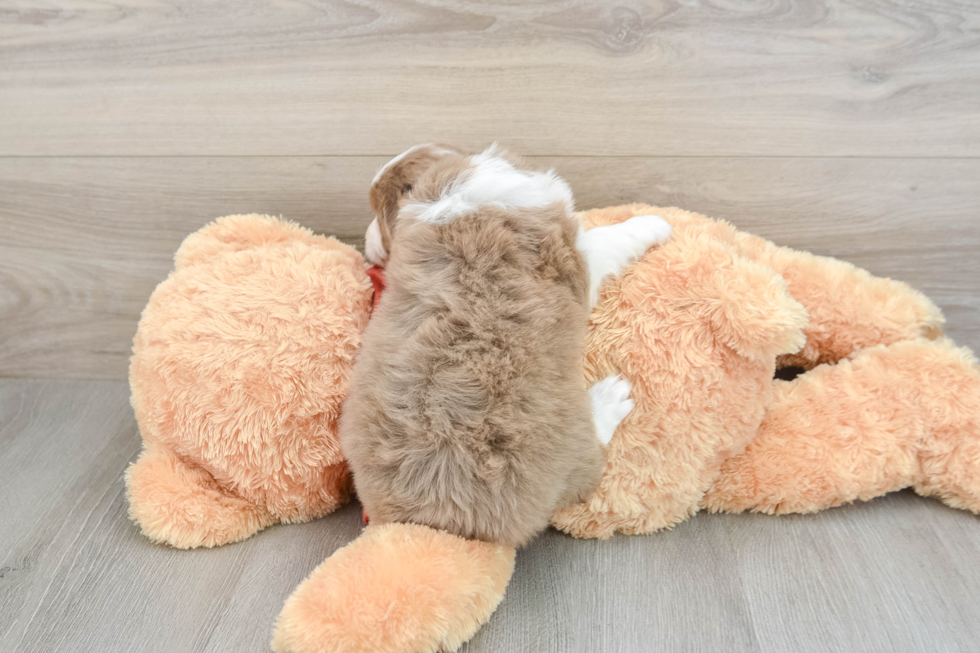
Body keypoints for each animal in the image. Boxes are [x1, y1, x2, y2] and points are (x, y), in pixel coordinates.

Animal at [340, 145, 668, 548]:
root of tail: (435, 519)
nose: (366, 244)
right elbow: (611, 236)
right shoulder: (580, 256)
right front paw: (656, 221)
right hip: (573, 448)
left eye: (378, 212)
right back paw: (610, 398)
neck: (448, 193)